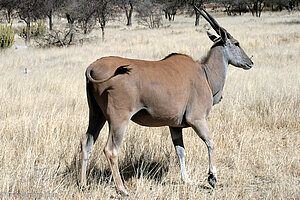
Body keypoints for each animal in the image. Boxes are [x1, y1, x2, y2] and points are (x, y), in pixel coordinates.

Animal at [79, 6, 253, 195]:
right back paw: (122, 189)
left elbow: (180, 151)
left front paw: (187, 179)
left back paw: (83, 184)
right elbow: (210, 142)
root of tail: (91, 67)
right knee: (111, 150)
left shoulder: (174, 125)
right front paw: (212, 177)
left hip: (96, 115)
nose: (250, 62)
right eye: (236, 43)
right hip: (119, 119)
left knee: (86, 143)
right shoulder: (197, 119)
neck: (205, 73)